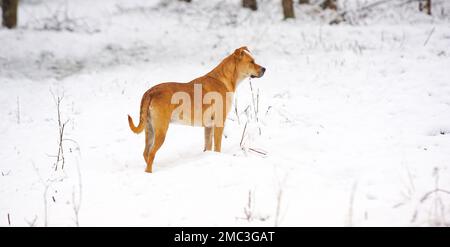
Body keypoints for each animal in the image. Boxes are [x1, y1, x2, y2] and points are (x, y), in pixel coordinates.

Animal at [127, 47, 264, 173]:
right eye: (252, 62)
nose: (264, 69)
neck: (225, 79)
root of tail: (150, 92)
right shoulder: (219, 123)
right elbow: (217, 147)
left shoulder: (208, 126)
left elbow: (208, 146)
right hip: (161, 131)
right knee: (151, 154)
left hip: (149, 129)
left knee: (146, 153)